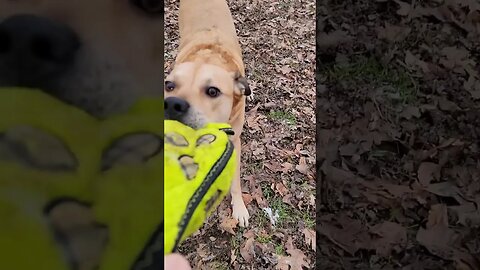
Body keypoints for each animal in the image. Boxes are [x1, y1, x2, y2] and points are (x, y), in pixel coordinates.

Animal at [166, 0, 251, 228]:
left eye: (213, 91)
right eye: (169, 85)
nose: (172, 105)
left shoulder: (234, 141)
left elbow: (236, 182)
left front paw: (239, 207)